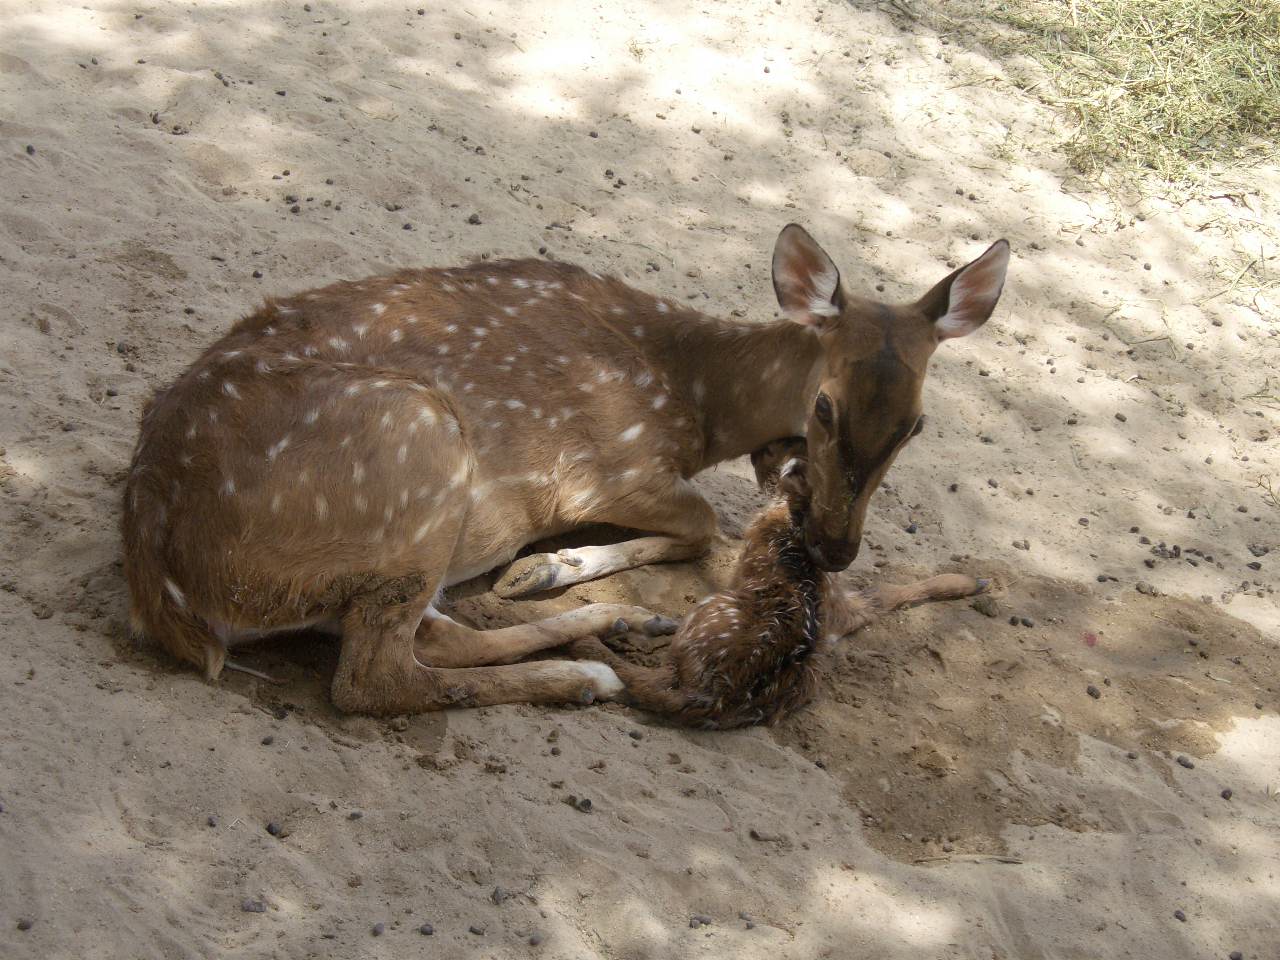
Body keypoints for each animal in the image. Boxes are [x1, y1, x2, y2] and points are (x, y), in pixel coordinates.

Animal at [567, 439, 985, 729]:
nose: (789, 458)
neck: (794, 525)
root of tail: (707, 694)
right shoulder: (839, 607)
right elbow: (886, 593)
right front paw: (973, 583)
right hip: (811, 675)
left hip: (711, 607)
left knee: (654, 679)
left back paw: (602, 642)